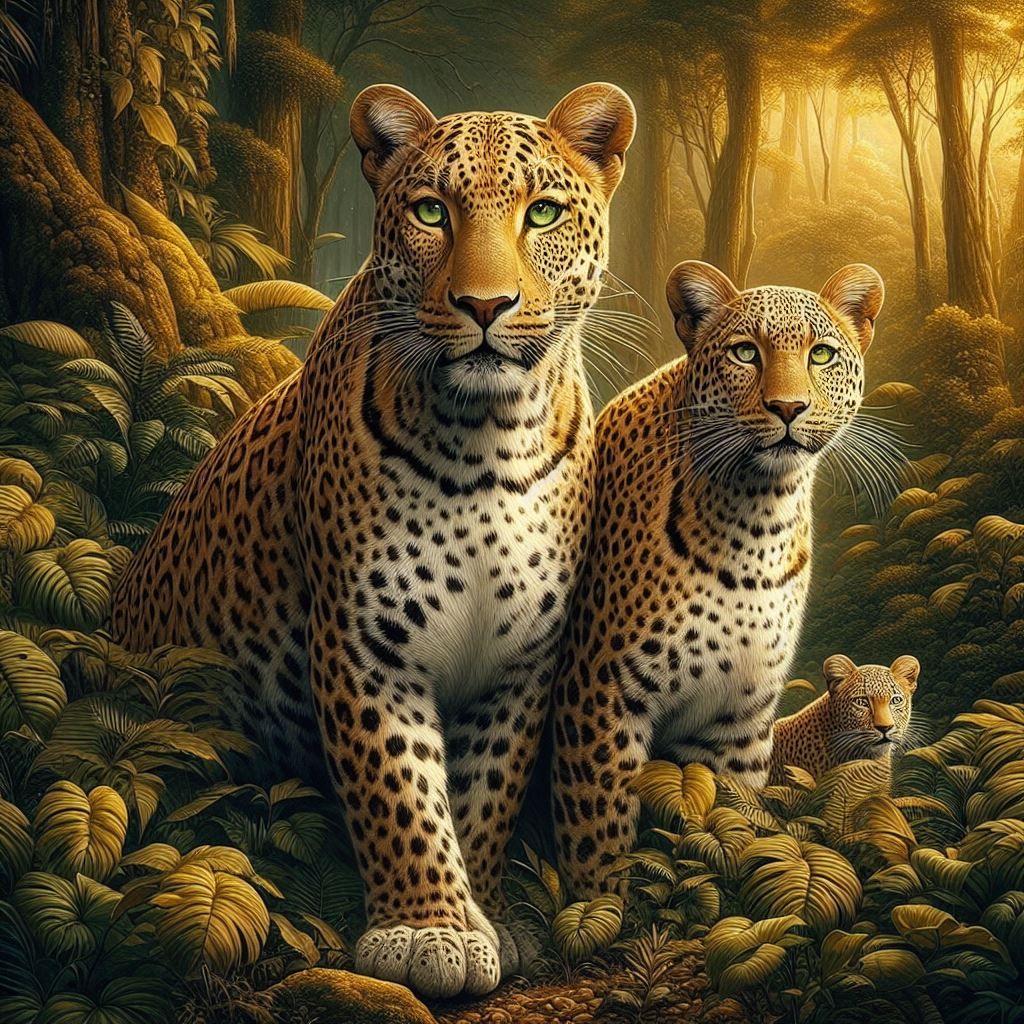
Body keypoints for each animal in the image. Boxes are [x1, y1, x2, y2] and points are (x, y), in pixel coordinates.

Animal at [110, 81, 636, 998]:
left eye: (541, 212)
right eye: (431, 211)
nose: (485, 307)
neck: (489, 438)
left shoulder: (522, 659)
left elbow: (485, 793)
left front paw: (486, 915)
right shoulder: (365, 640)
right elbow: (400, 789)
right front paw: (428, 930)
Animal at [551, 259, 885, 898]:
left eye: (822, 354)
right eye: (745, 352)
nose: (788, 408)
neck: (757, 520)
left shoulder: (736, 720)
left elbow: (726, 818)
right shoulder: (600, 695)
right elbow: (596, 837)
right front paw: (598, 910)